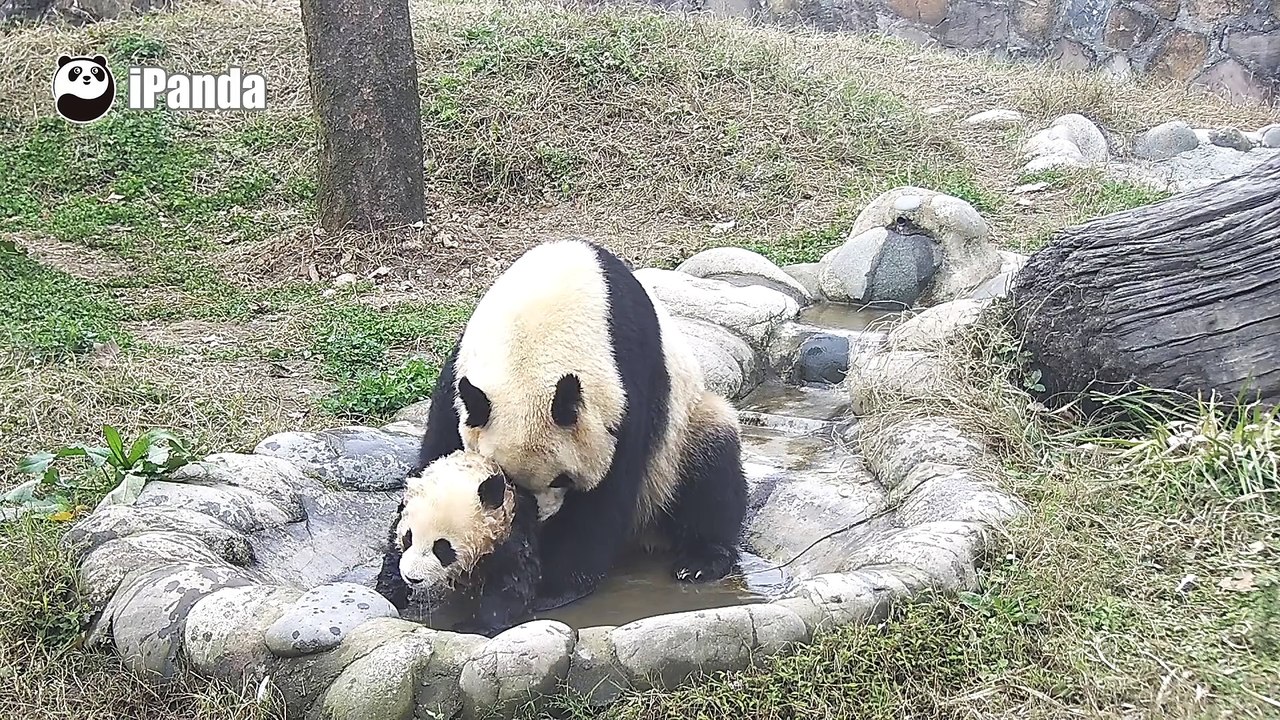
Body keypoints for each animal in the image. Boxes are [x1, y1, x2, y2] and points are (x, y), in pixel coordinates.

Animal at [374, 450, 566, 636]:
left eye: (442, 548)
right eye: (408, 538)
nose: (413, 578)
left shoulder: (512, 530)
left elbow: (512, 582)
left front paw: (474, 625)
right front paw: (389, 595)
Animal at [418, 238, 748, 609]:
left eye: (563, 478)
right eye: (509, 480)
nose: (541, 517)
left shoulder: (630, 387)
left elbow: (604, 497)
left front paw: (553, 587)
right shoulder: (461, 376)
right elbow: (443, 445)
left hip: (682, 436)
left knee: (712, 472)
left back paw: (700, 560)